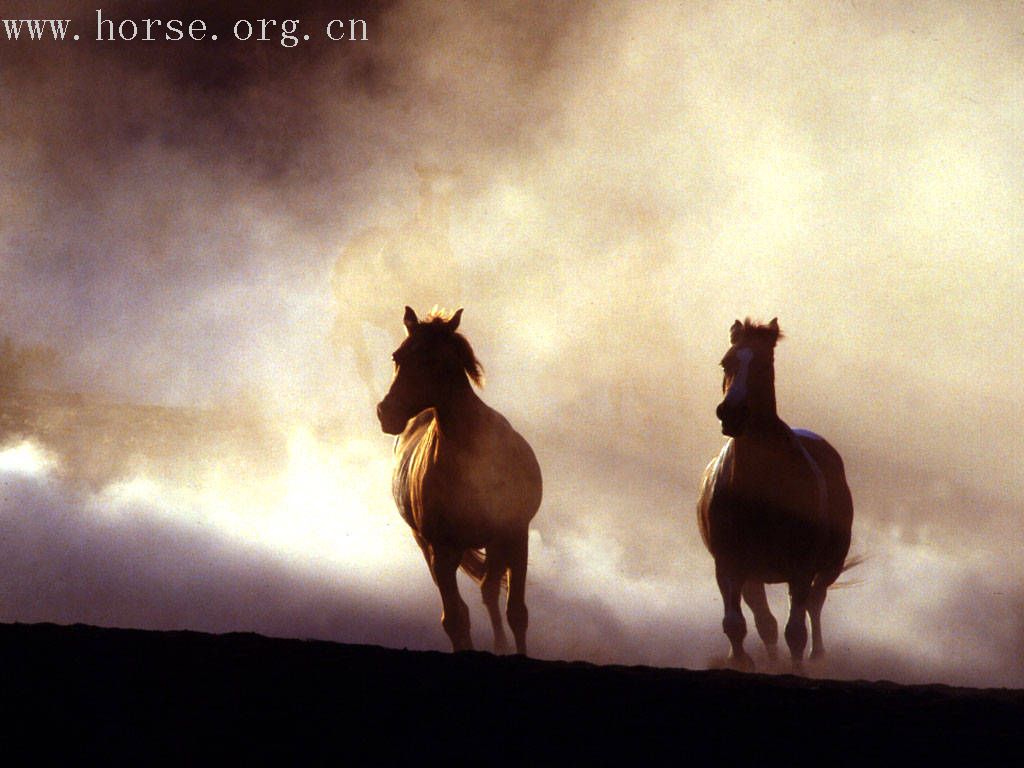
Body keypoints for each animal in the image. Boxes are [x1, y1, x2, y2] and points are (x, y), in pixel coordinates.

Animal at [372, 307, 540, 655]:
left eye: (434, 360)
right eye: (397, 356)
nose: (386, 413)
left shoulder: (515, 534)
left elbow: (517, 613)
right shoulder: (441, 549)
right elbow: (454, 619)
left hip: (496, 542)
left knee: (489, 590)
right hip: (428, 545)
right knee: (467, 605)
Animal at [696, 321, 856, 671]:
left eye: (763, 365)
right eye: (726, 362)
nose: (731, 413)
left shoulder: (801, 568)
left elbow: (796, 632)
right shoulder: (729, 565)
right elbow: (738, 625)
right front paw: (741, 660)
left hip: (828, 566)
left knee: (814, 604)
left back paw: (817, 656)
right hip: (754, 576)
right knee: (766, 622)